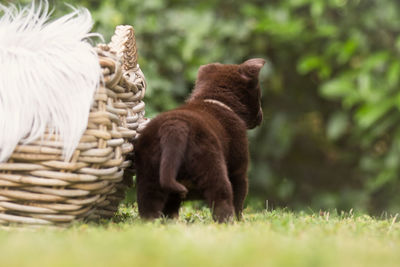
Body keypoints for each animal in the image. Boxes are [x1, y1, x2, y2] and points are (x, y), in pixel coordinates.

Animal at [134, 59, 266, 224]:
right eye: (259, 95)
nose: (262, 115)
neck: (217, 100)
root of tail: (175, 126)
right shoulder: (239, 170)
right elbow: (239, 200)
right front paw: (240, 220)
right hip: (212, 166)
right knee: (221, 198)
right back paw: (228, 223)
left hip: (149, 174)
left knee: (150, 206)